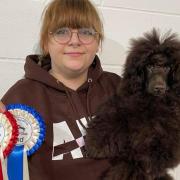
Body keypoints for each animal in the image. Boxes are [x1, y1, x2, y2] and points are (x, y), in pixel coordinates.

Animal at [85, 28, 180, 179]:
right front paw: (95, 144)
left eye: (167, 68)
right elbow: (112, 119)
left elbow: (160, 140)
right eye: (150, 66)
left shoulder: (171, 122)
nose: (159, 88)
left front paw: (146, 162)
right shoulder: (125, 103)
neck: (151, 101)